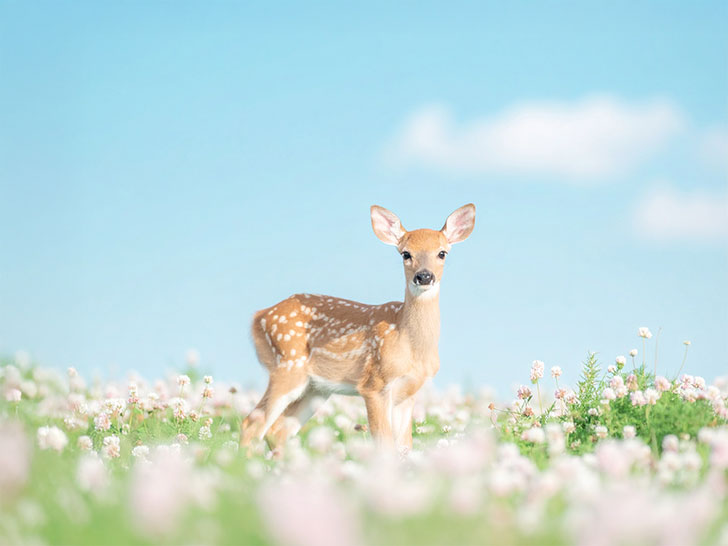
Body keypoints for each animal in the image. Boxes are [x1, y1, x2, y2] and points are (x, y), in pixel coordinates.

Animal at [240, 204, 476, 453]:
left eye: (442, 253)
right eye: (405, 254)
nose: (424, 276)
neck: (410, 343)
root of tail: (259, 316)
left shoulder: (409, 392)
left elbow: (405, 447)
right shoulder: (374, 384)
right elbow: (384, 444)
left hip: (315, 388)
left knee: (277, 431)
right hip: (287, 364)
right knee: (251, 423)